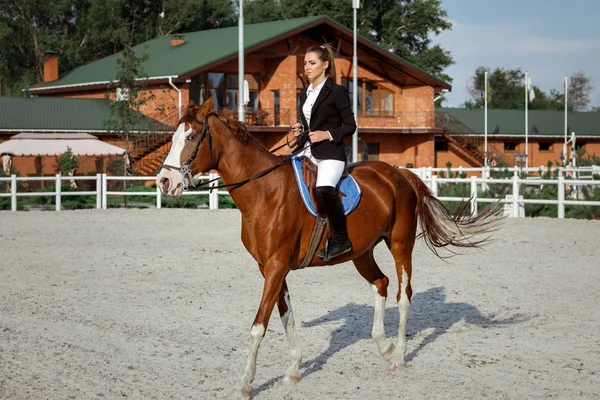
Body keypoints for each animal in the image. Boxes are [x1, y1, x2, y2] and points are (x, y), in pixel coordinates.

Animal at [156, 97, 502, 396]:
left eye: (191, 136)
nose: (164, 182)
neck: (264, 190)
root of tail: (399, 173)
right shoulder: (271, 268)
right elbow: (287, 317)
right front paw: (293, 371)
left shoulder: (276, 267)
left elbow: (259, 326)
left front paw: (245, 384)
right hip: (361, 252)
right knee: (381, 283)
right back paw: (383, 344)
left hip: (400, 245)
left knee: (404, 295)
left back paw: (400, 355)